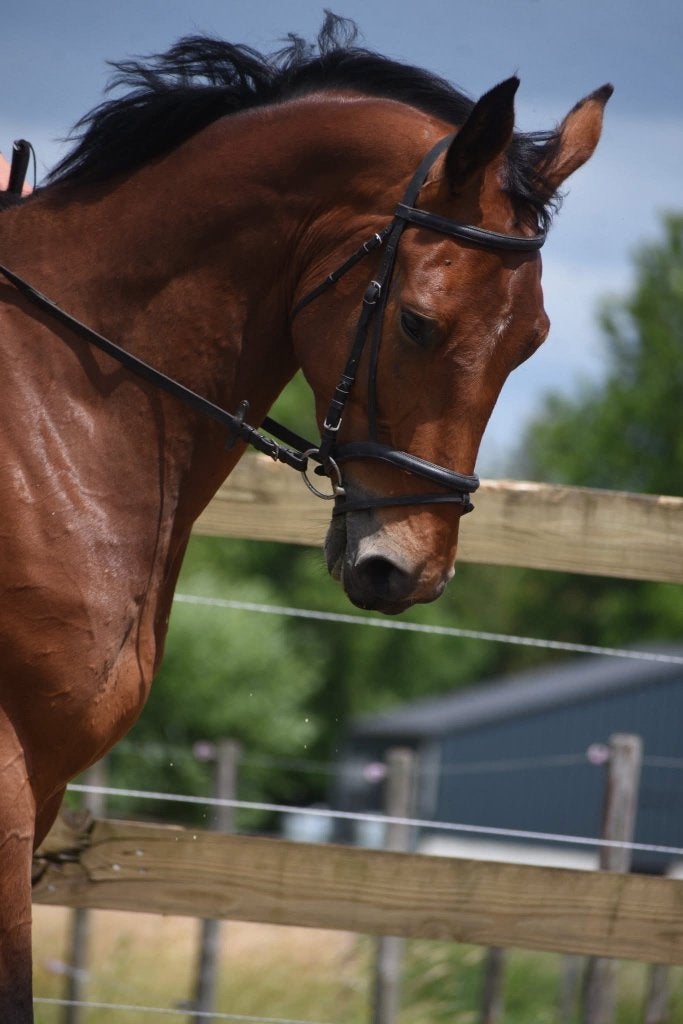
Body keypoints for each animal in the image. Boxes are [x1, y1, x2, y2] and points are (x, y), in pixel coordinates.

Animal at [0, 14, 610, 1020]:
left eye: (532, 342)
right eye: (416, 322)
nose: (407, 571)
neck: (58, 403)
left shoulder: (43, 785)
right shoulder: (7, 774)